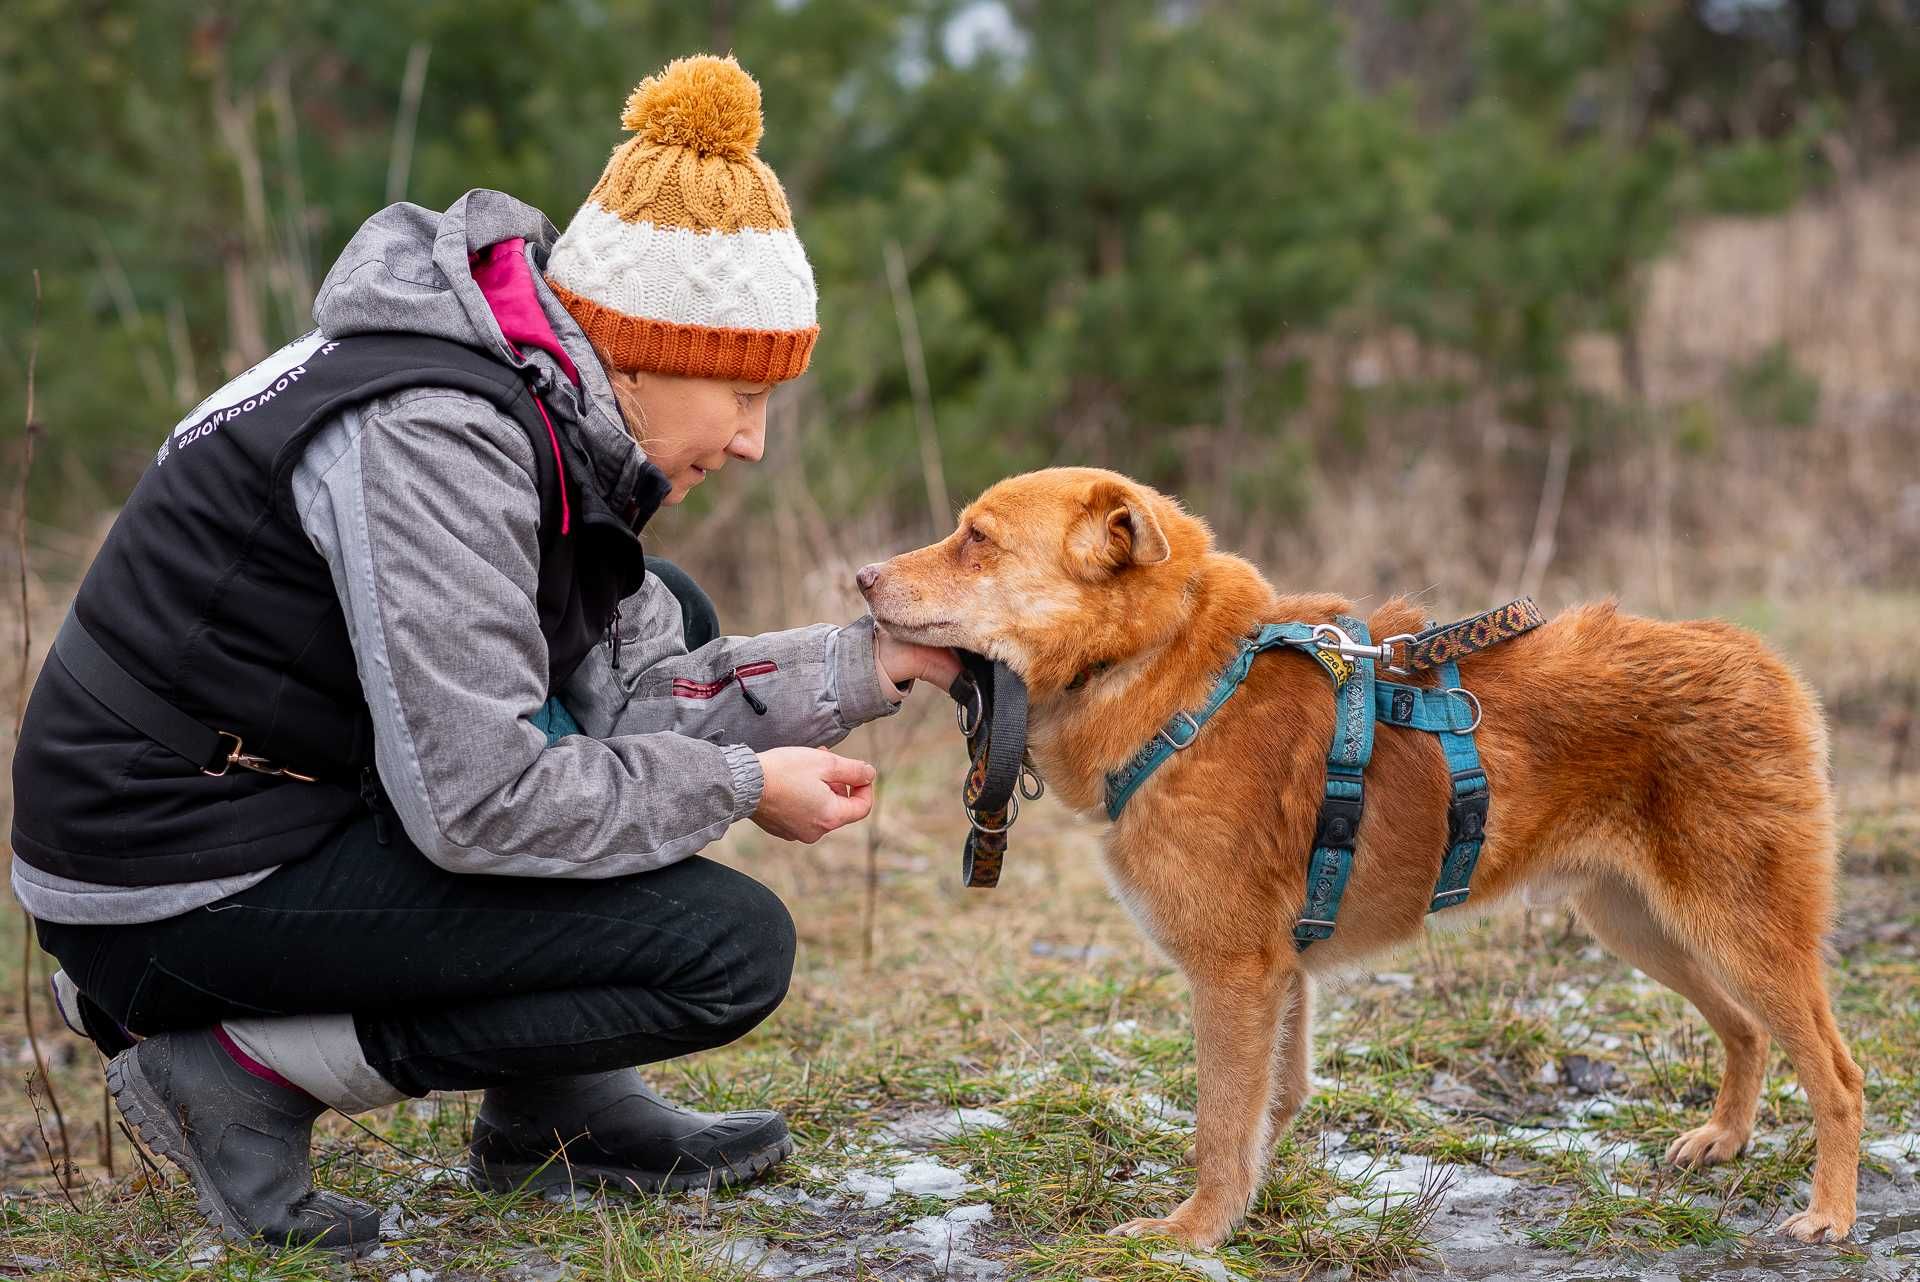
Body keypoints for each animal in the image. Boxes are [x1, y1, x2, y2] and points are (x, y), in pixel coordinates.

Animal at [856, 466, 1858, 1243]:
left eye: (977, 540)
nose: (860, 576)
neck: (1178, 675)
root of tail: (1756, 657)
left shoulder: (1234, 975)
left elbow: (1221, 1122)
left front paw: (1194, 1232)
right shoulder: (1281, 975)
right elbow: (1273, 1104)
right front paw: (1249, 1206)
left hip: (1743, 931)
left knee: (1837, 1076)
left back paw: (1830, 1213)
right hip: (1642, 925)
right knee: (1747, 1030)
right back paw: (1724, 1138)